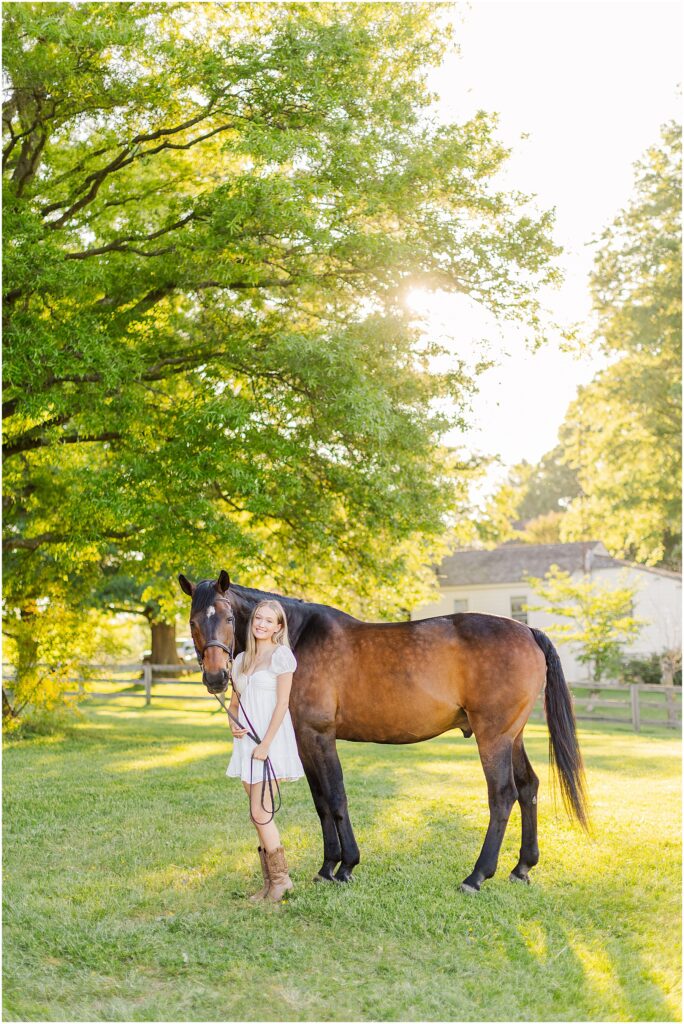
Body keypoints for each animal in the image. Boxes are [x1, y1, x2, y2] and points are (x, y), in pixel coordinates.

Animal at [178, 573, 589, 892]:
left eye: (228, 618)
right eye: (194, 621)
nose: (216, 678)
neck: (298, 638)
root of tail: (527, 630)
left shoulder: (319, 735)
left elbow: (336, 798)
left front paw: (346, 866)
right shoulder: (303, 739)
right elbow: (321, 802)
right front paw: (327, 867)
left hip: (493, 736)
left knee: (503, 795)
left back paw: (476, 876)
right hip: (512, 736)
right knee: (528, 788)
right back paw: (522, 867)